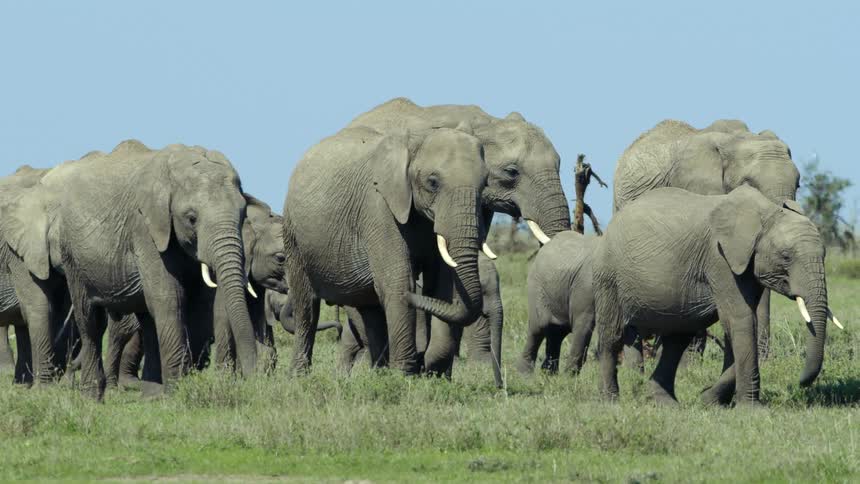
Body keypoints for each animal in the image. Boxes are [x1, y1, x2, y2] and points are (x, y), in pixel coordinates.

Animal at [1, 140, 259, 399]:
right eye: (191, 218)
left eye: (242, 215)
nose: (251, 379)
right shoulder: (144, 227)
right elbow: (170, 297)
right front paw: (178, 392)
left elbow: (199, 305)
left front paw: (177, 390)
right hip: (74, 256)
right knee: (90, 319)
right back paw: (92, 396)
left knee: (145, 317)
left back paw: (150, 394)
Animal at [283, 123, 491, 375]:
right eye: (432, 182)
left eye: (485, 183)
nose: (421, 363)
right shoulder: (378, 209)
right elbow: (397, 283)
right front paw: (404, 375)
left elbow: (441, 288)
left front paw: (435, 375)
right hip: (293, 235)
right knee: (306, 305)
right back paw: (298, 376)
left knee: (369, 309)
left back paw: (378, 373)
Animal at [518, 230, 597, 376]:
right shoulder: (587, 285)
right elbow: (584, 323)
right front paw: (570, 378)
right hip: (536, 286)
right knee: (539, 327)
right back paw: (523, 375)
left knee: (557, 331)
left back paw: (549, 374)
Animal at [592, 186, 840, 406]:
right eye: (786, 256)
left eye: (825, 255)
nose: (800, 383)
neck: (764, 213)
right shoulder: (720, 259)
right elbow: (741, 321)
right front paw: (751, 409)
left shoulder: (745, 264)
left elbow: (740, 326)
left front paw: (710, 401)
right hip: (608, 276)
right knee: (611, 335)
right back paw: (611, 402)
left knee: (677, 340)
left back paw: (666, 404)